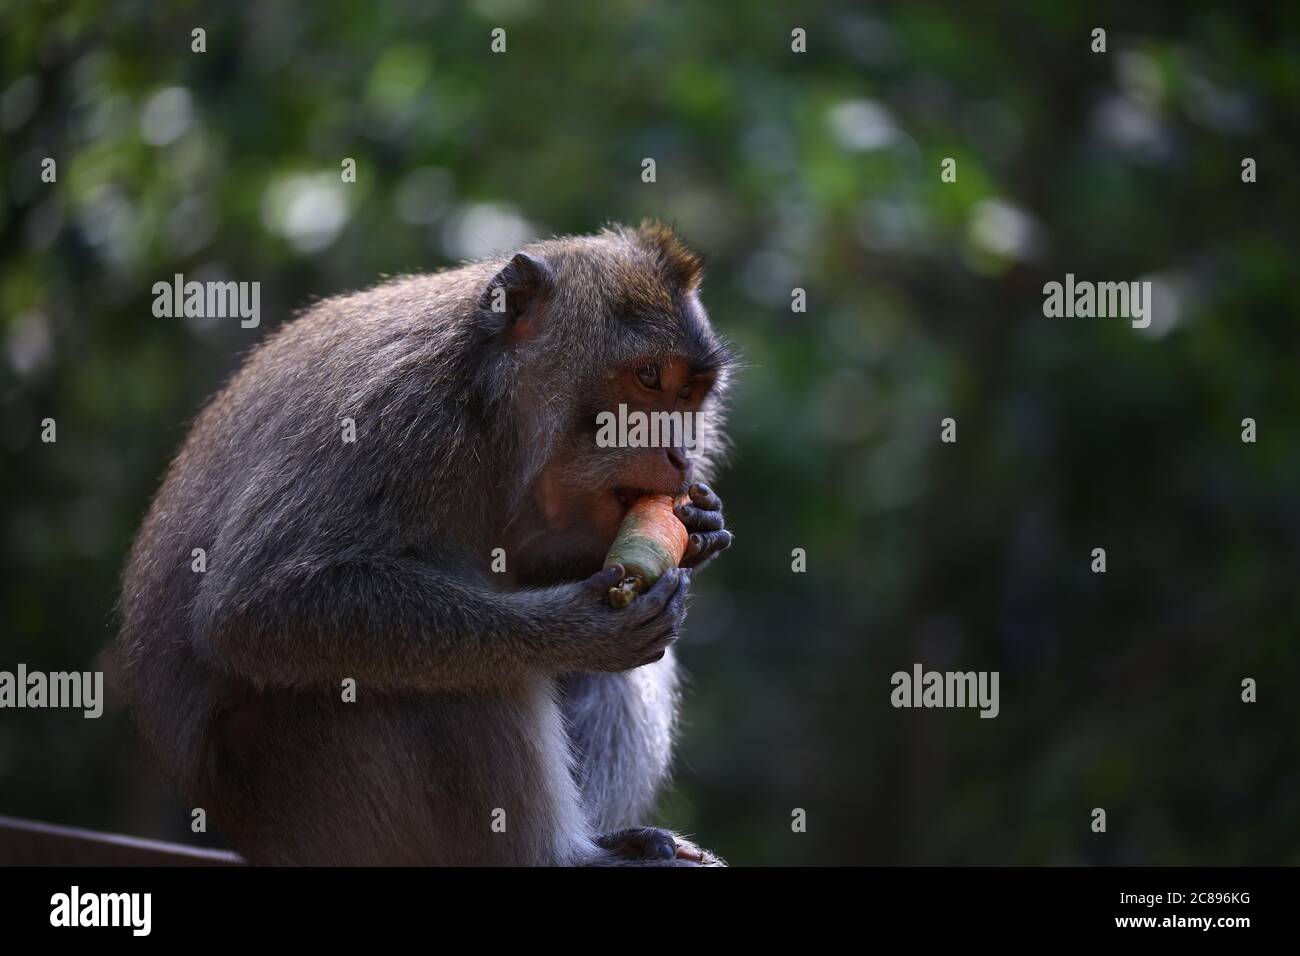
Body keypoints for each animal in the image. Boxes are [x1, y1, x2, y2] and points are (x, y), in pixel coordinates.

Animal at [115, 222, 735, 866]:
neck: (490, 410)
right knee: (462, 671)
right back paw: (563, 855)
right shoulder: (393, 414)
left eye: (689, 392)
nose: (681, 453)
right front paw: (577, 630)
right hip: (309, 792)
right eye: (648, 376)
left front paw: (702, 525)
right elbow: (254, 604)